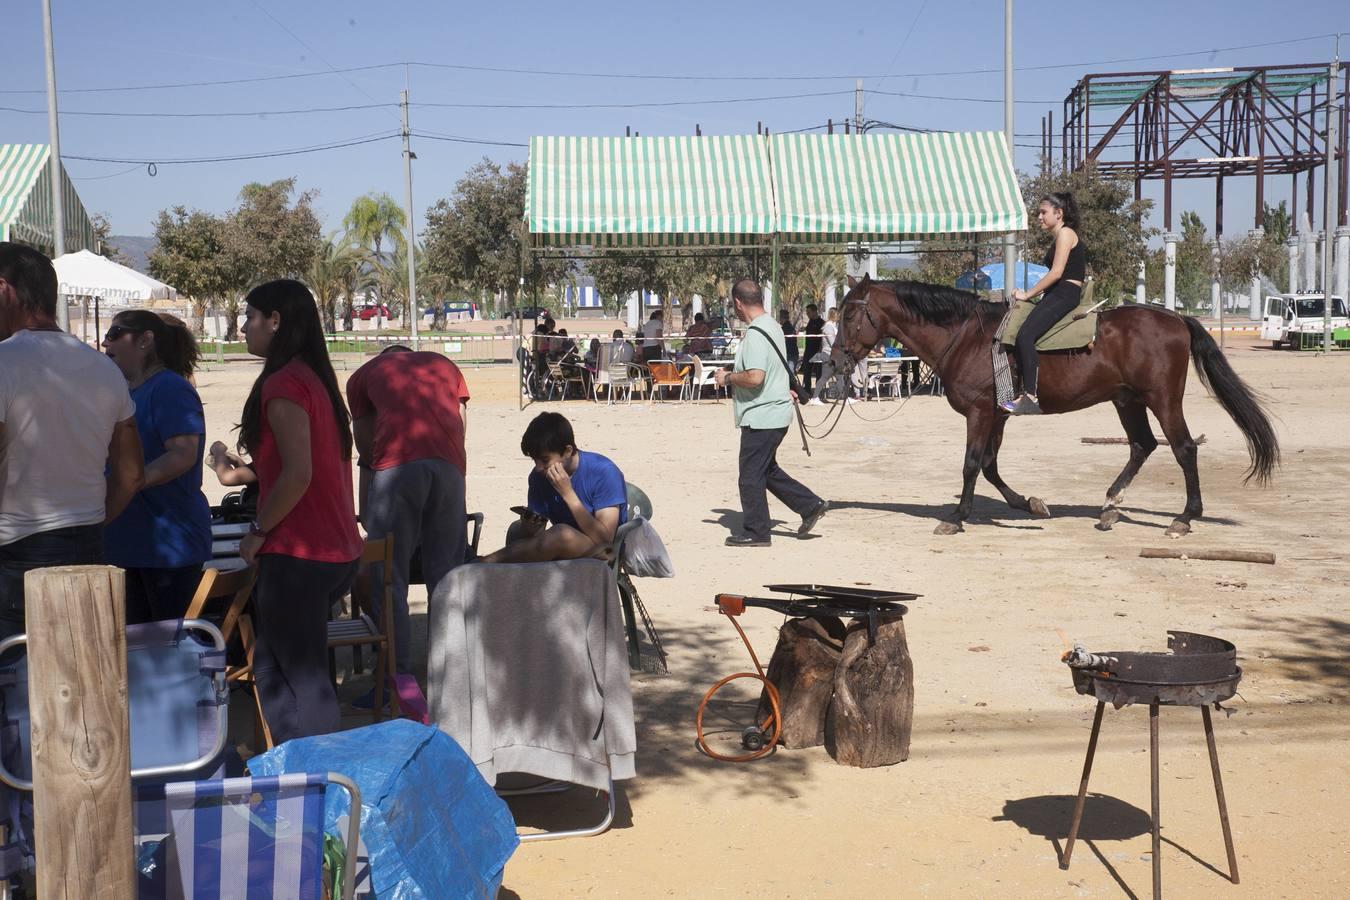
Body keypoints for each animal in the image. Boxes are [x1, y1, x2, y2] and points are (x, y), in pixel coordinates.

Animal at [831, 275, 1274, 539]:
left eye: (851, 313)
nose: (834, 361)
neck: (967, 337)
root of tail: (1177, 319)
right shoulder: (997, 415)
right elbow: (989, 465)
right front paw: (1028, 503)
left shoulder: (980, 412)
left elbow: (972, 464)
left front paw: (956, 517)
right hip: (1127, 400)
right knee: (1142, 446)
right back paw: (1110, 506)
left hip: (1162, 400)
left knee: (1183, 449)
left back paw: (1184, 517)